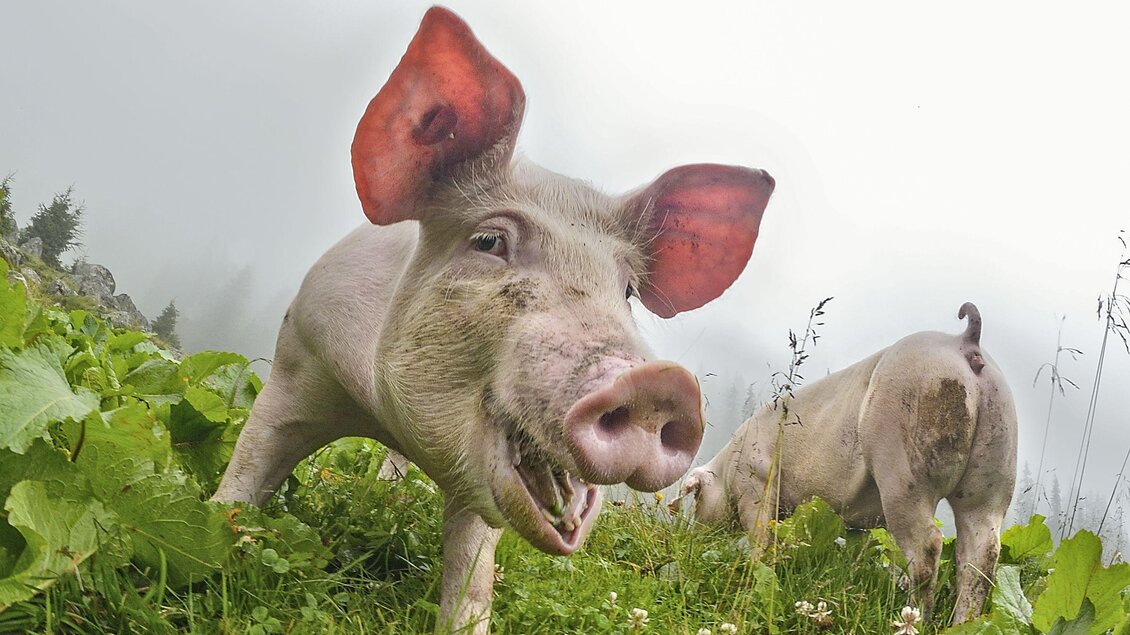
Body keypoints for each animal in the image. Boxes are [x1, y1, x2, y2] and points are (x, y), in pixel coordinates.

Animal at [211, 7, 775, 634]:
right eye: (489, 241)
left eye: (627, 290)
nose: (663, 383)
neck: (381, 415)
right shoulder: (299, 354)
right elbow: (249, 465)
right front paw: (215, 535)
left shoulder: (480, 487)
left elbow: (473, 573)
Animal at [675, 303, 1017, 624]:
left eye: (697, 498)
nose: (693, 536)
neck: (728, 468)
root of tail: (964, 341)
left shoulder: (755, 486)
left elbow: (761, 537)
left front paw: (757, 569)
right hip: (994, 476)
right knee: (982, 553)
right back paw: (963, 621)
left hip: (904, 468)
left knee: (927, 545)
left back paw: (913, 616)